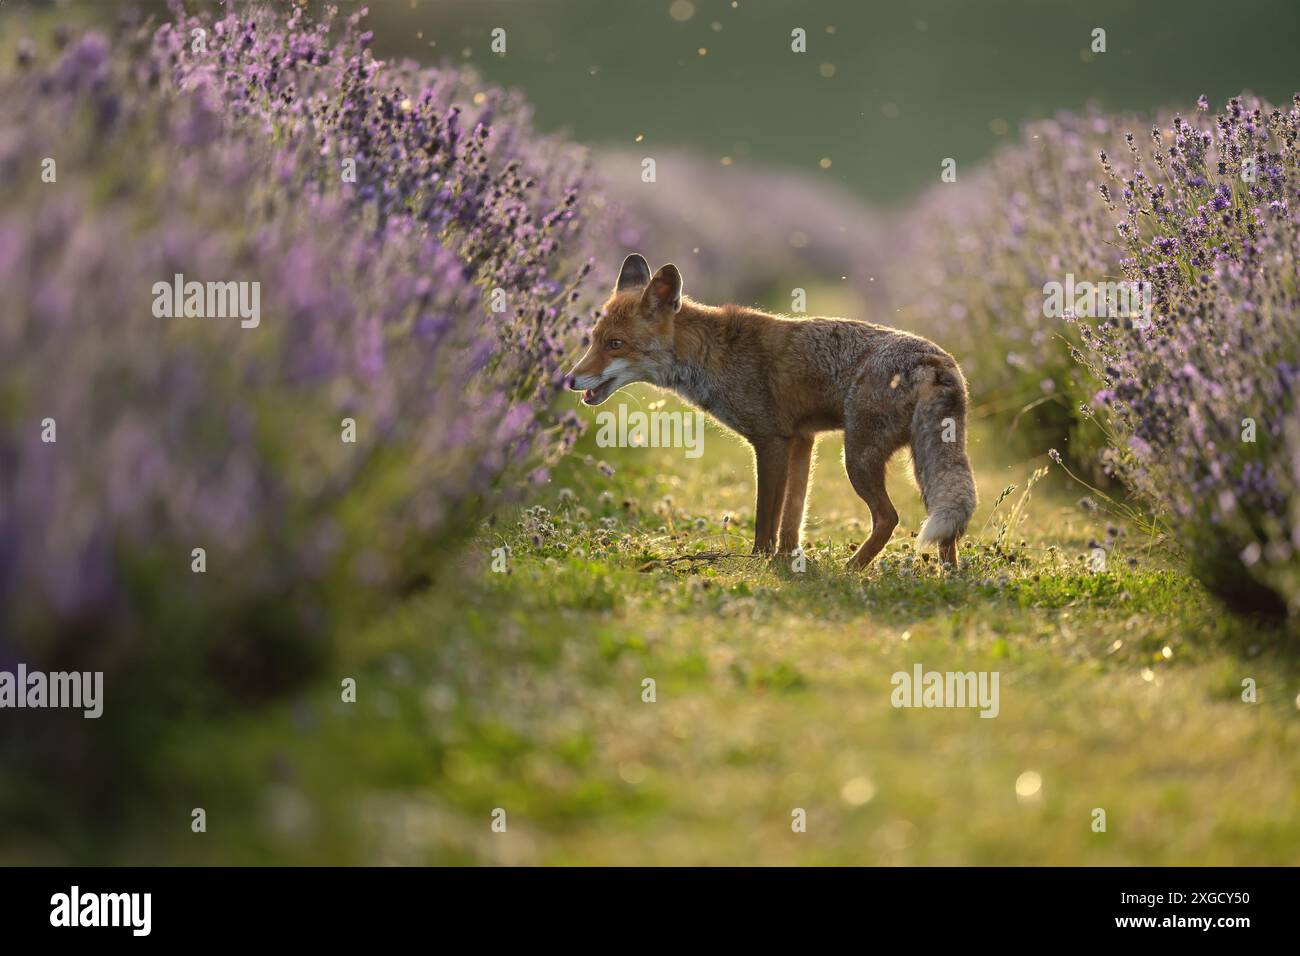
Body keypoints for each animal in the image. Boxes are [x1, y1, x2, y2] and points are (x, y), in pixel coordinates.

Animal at [567, 254, 977, 569]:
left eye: (615, 344)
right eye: (593, 339)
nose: (570, 378)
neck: (712, 356)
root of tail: (935, 360)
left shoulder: (770, 441)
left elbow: (766, 518)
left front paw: (758, 561)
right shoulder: (803, 439)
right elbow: (792, 517)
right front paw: (787, 560)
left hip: (859, 457)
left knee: (889, 517)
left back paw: (853, 568)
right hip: (922, 463)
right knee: (947, 525)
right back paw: (949, 575)